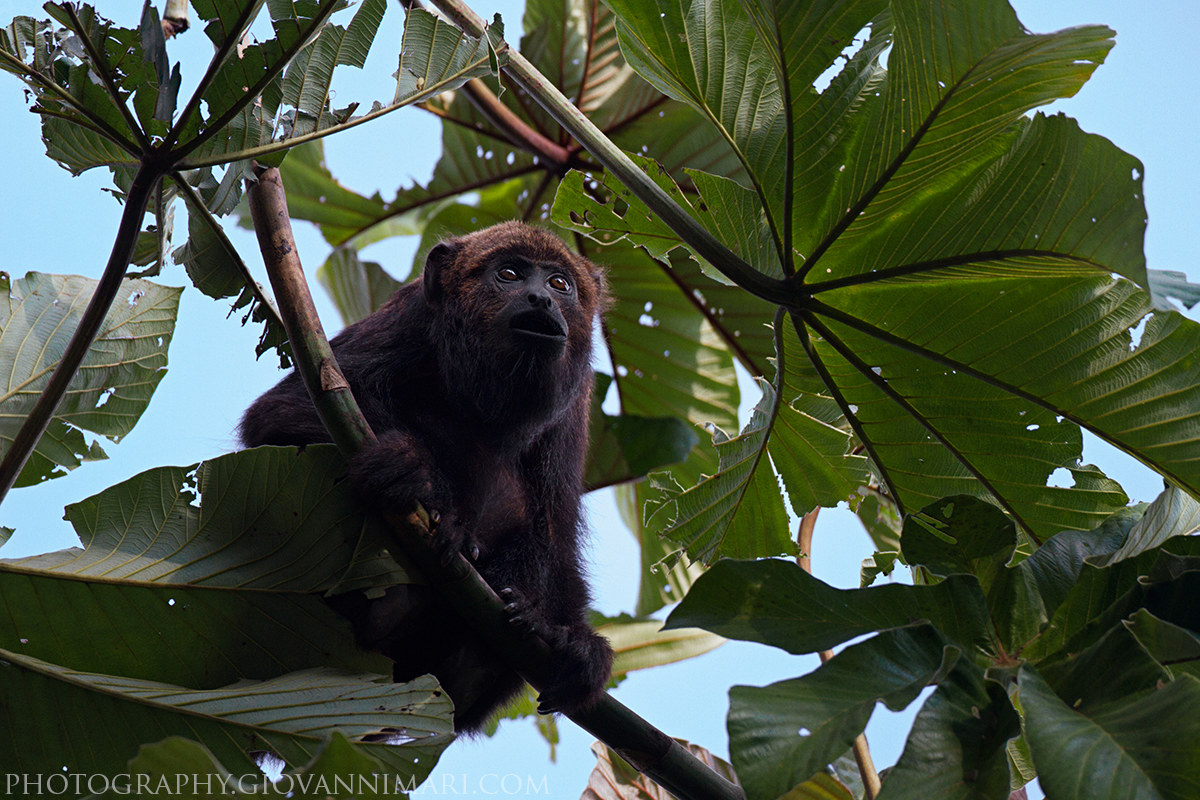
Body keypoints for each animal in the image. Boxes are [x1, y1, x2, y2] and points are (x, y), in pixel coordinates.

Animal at [239, 221, 613, 733]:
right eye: (510, 274)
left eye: (560, 284)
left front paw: (559, 632)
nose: (540, 299)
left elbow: (554, 522)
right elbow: (282, 411)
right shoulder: (409, 317)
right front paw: (415, 473)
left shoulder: (576, 399)